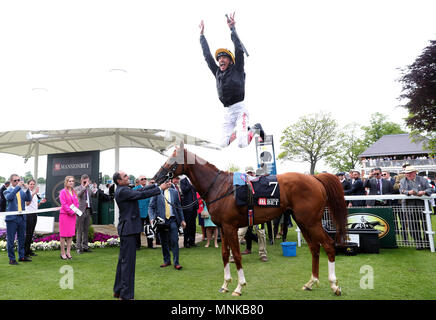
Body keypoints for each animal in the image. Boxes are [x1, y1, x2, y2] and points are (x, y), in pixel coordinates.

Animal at [153, 144, 348, 296]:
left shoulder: (230, 227)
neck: (219, 187)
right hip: (303, 221)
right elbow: (225, 255)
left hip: (311, 222)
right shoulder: (223, 228)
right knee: (314, 248)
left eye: (173, 159)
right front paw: (225, 284)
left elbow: (237, 255)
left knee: (328, 245)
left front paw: (239, 287)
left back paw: (334, 285)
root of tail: (314, 178)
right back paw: (311, 282)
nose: (156, 178)